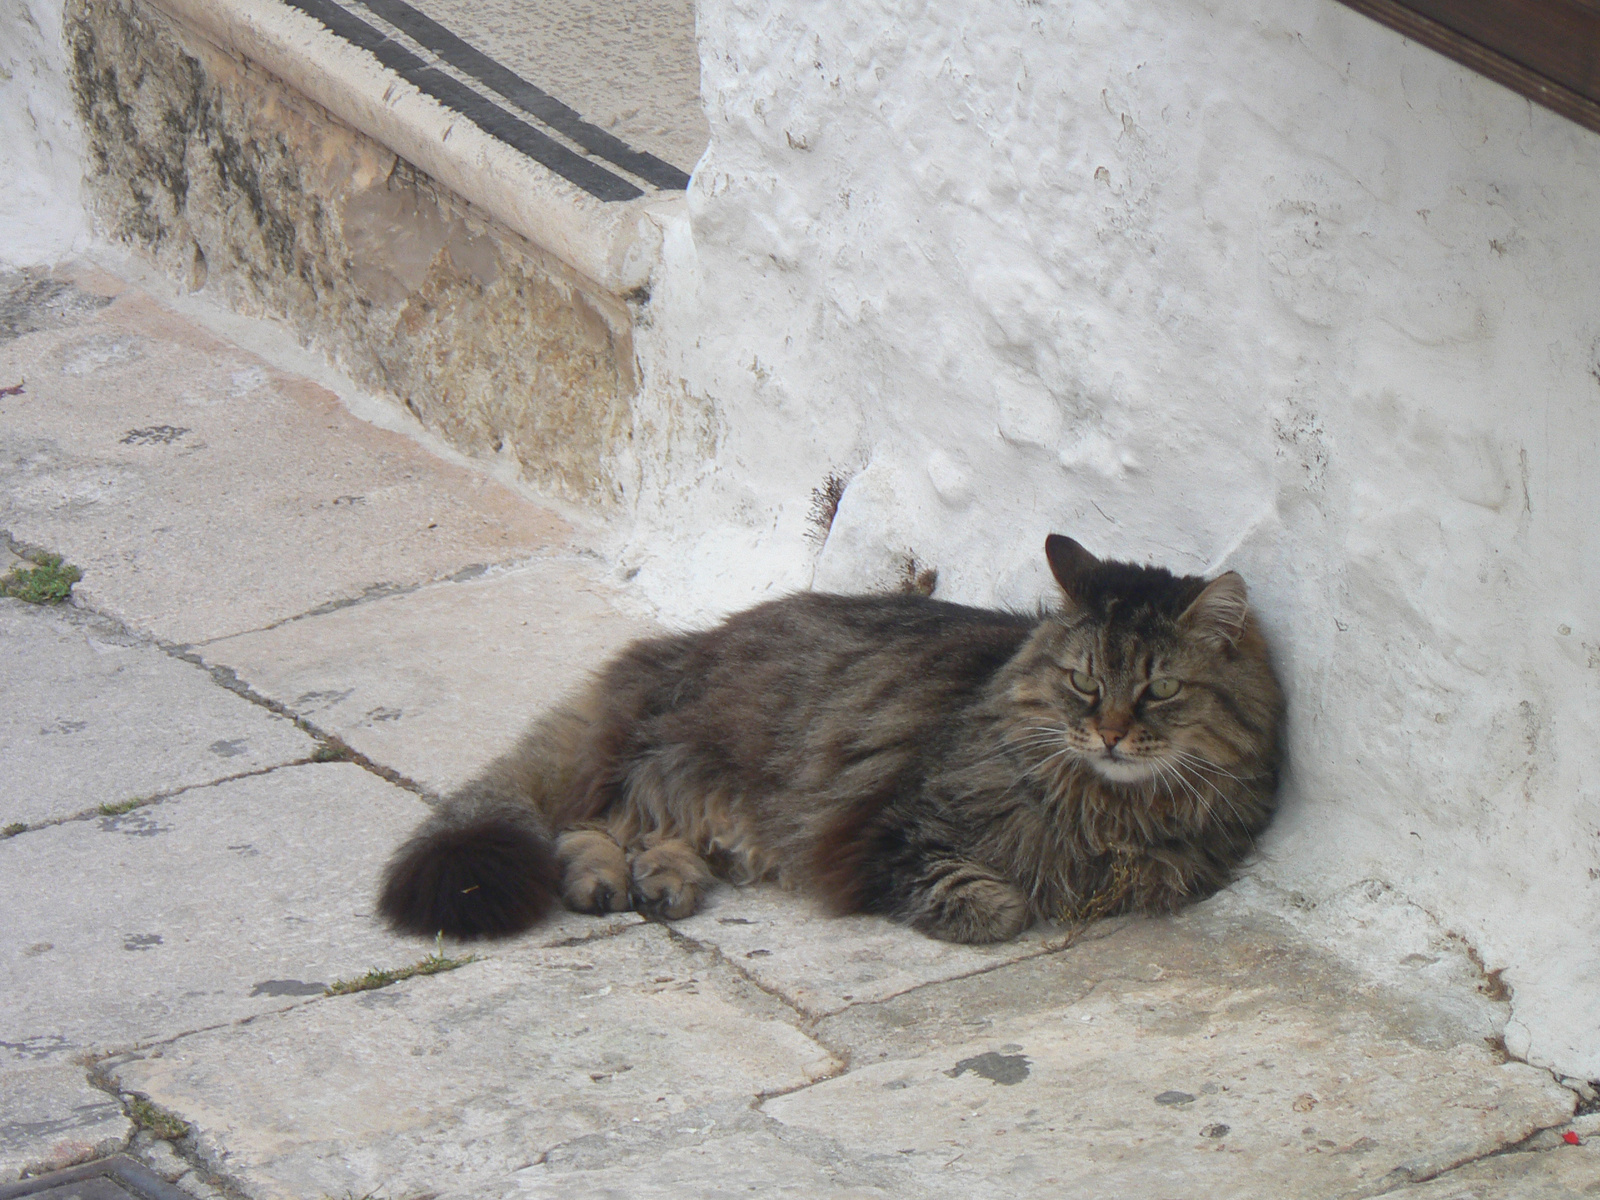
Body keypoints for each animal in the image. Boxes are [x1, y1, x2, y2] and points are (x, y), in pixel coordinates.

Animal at [377, 537, 1286, 947]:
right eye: (1085, 684)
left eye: (1160, 689)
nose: (1110, 734)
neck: (1109, 807)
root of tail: (681, 645)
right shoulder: (892, 833)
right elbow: (998, 902)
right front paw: (1005, 902)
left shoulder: (1177, 866)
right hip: (678, 756)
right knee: (584, 820)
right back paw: (605, 879)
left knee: (646, 829)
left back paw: (662, 882)